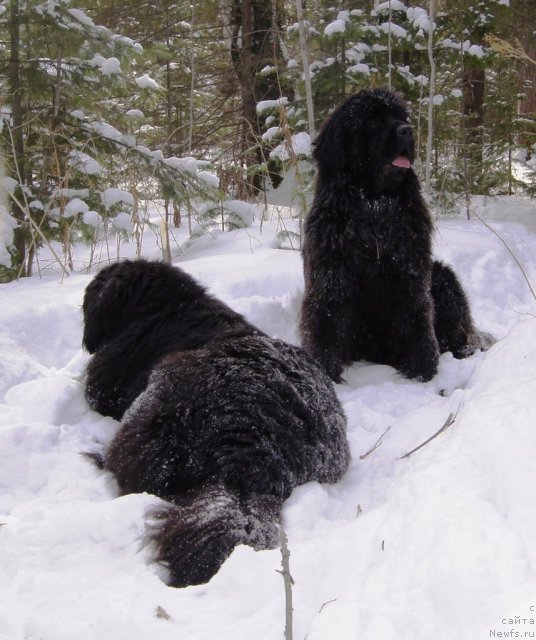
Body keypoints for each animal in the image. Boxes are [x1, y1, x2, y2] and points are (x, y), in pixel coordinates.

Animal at [300, 87, 492, 382]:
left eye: (402, 117)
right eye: (372, 120)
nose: (407, 131)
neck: (375, 205)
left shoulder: (410, 274)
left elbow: (416, 317)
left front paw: (423, 371)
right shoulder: (331, 277)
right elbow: (325, 321)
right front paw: (325, 372)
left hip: (442, 277)